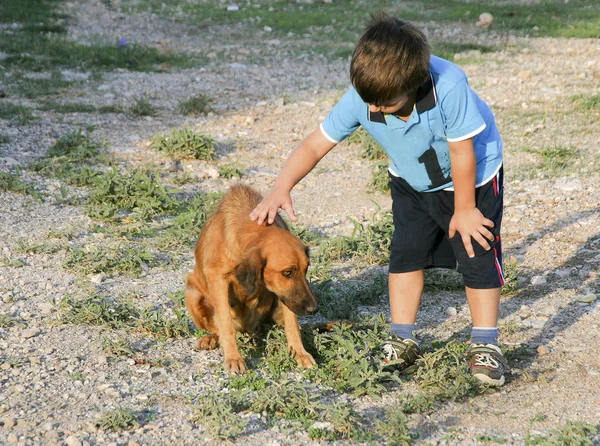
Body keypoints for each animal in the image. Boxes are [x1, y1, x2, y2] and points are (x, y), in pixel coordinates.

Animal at [185, 183, 318, 372]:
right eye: (287, 272)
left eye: (306, 270)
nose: (314, 309)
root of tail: (249, 330)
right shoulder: (217, 279)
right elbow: (225, 324)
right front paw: (233, 357)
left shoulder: (286, 297)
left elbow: (292, 323)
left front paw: (300, 352)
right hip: (192, 293)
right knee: (217, 328)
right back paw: (211, 338)